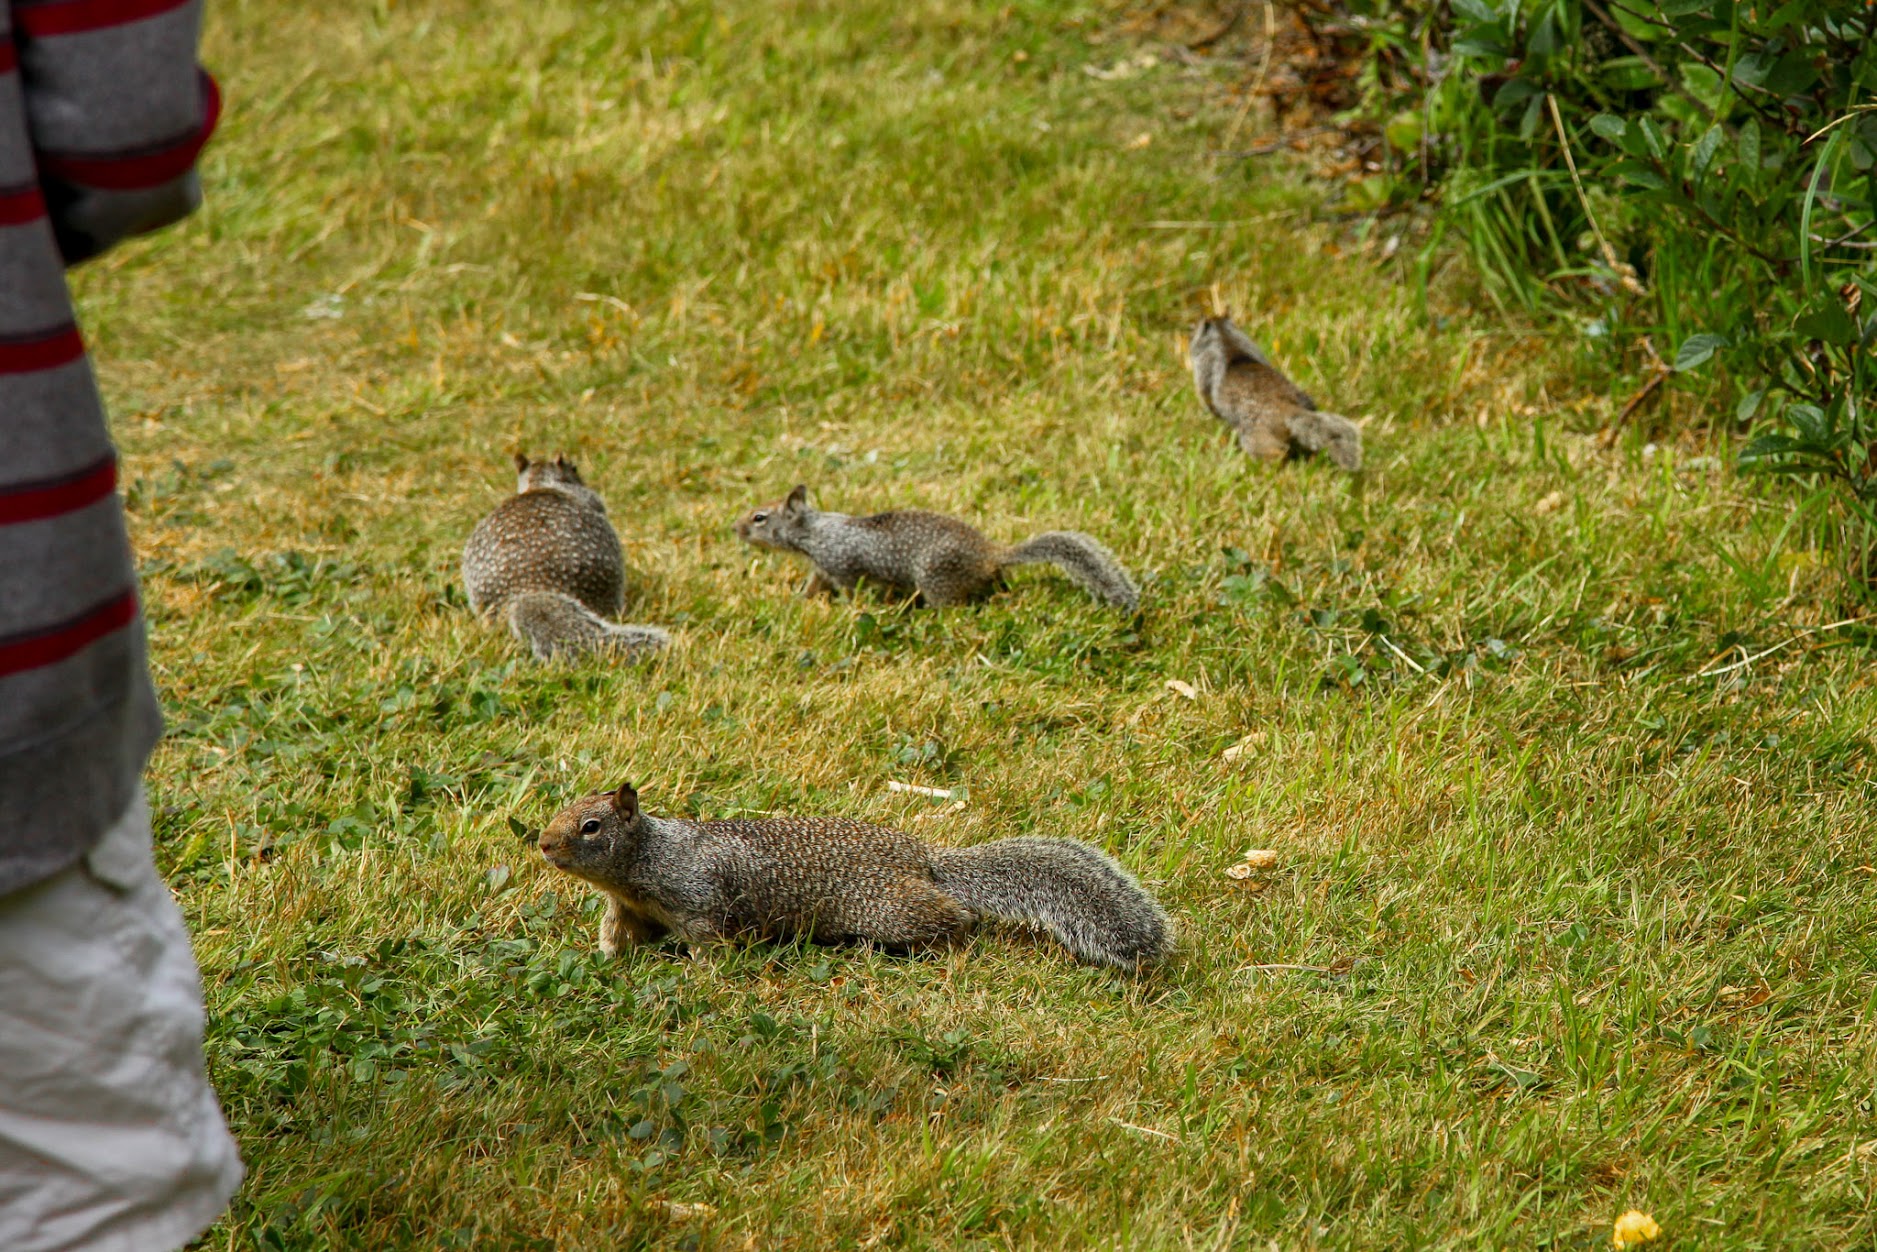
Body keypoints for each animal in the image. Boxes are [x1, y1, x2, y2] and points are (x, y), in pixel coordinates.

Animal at [533, 784, 1171, 968]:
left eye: (590, 826)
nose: (541, 843)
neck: (647, 860)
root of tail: (927, 861)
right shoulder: (630, 910)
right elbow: (618, 939)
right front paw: (604, 963)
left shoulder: (700, 899)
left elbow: (713, 944)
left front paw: (698, 976)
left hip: (890, 908)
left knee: (952, 918)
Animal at [732, 484, 1141, 611]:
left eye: (759, 517)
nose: (734, 528)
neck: (814, 532)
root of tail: (992, 554)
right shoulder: (820, 568)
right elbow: (812, 586)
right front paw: (798, 601)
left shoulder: (842, 565)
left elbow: (852, 591)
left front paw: (847, 609)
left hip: (935, 577)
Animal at [1186, 315, 1366, 473]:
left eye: (1196, 329)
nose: (1190, 330)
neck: (1225, 337)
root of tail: (1289, 411)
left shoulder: (1204, 366)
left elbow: (1204, 394)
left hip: (1257, 439)